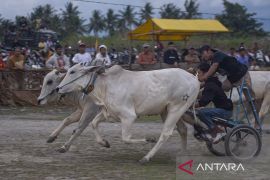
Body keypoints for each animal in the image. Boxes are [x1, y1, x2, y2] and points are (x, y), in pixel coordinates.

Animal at [57, 63, 200, 163]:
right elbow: (93, 123)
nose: (58, 88)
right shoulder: (109, 114)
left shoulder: (129, 116)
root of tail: (194, 78)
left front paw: (149, 139)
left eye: (72, 71)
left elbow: (125, 138)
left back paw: (146, 158)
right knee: (182, 129)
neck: (104, 86)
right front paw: (104, 143)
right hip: (166, 110)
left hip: (177, 108)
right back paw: (182, 154)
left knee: (166, 133)